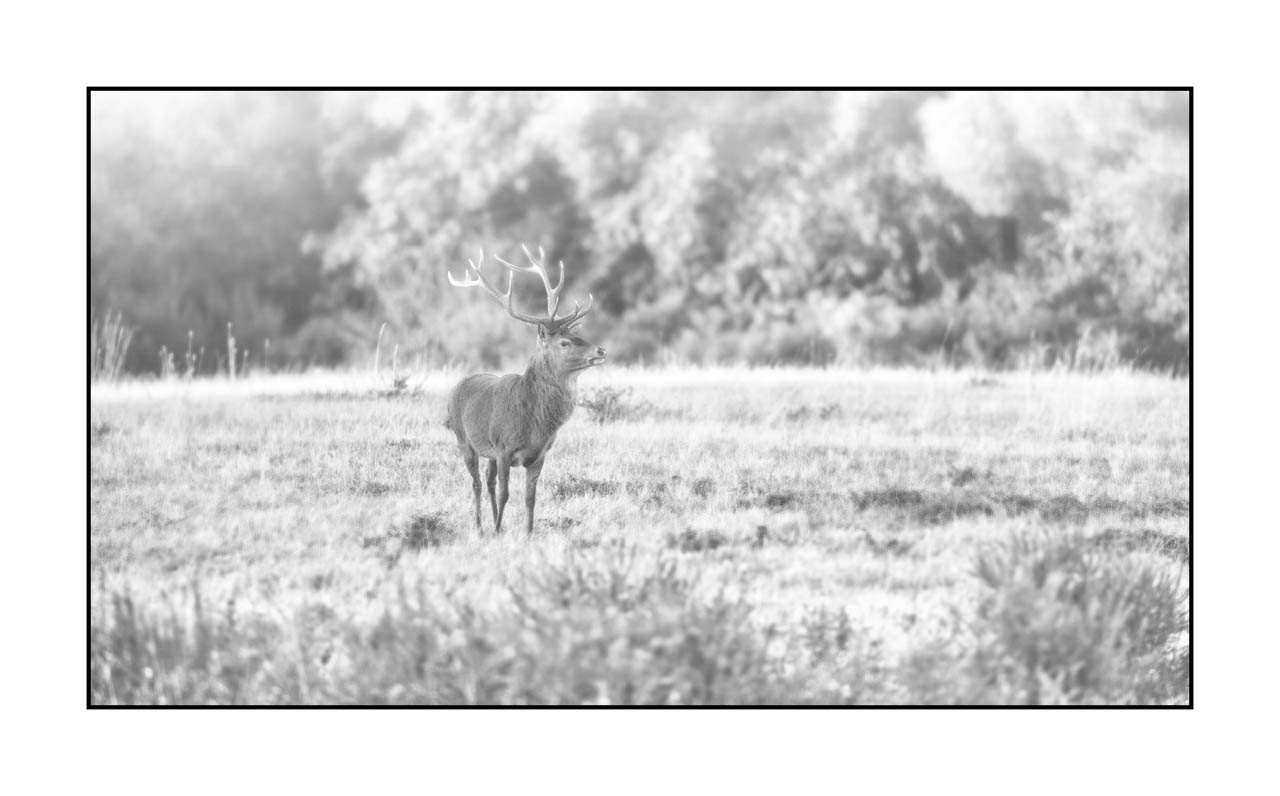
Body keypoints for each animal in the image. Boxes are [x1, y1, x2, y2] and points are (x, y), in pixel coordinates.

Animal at [444, 245, 606, 535]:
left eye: (577, 335)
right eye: (564, 342)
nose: (600, 350)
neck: (534, 423)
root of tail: (457, 387)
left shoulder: (539, 455)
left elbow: (531, 497)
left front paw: (527, 533)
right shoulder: (504, 448)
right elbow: (506, 493)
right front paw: (498, 532)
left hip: (488, 452)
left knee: (488, 481)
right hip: (464, 439)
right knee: (477, 483)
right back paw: (481, 528)